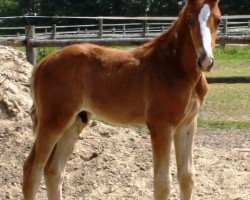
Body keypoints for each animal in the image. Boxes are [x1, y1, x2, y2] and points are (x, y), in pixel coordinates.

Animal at [23, 0, 221, 199]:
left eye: (219, 20)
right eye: (190, 20)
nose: (205, 60)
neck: (174, 66)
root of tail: (44, 62)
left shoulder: (187, 124)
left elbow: (187, 177)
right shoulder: (161, 125)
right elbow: (162, 184)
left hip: (75, 121)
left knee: (53, 170)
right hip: (53, 121)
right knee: (32, 168)